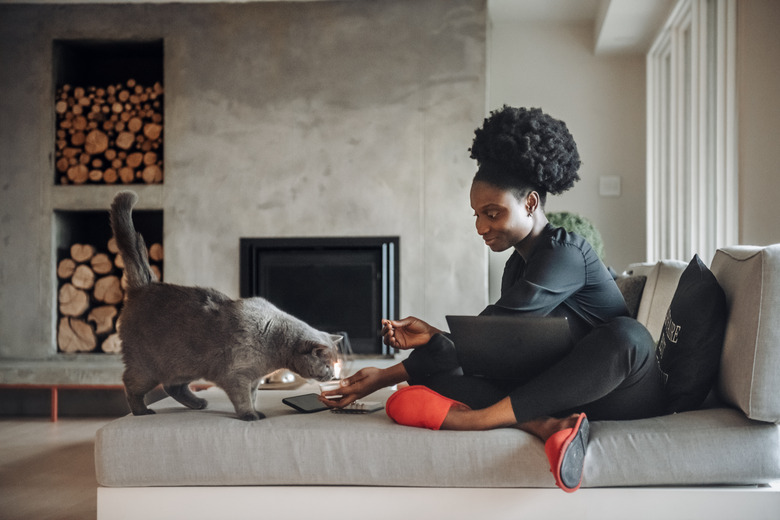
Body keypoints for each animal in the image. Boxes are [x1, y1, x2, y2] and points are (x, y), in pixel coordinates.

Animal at [110, 190, 338, 418]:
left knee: (172, 386)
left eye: (334, 365)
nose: (333, 376)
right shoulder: (237, 375)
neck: (274, 342)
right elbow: (243, 399)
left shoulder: (253, 379)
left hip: (184, 365)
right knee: (131, 384)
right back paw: (142, 411)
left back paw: (198, 403)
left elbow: (253, 396)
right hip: (147, 368)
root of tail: (145, 285)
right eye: (327, 366)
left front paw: (255, 410)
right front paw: (250, 416)